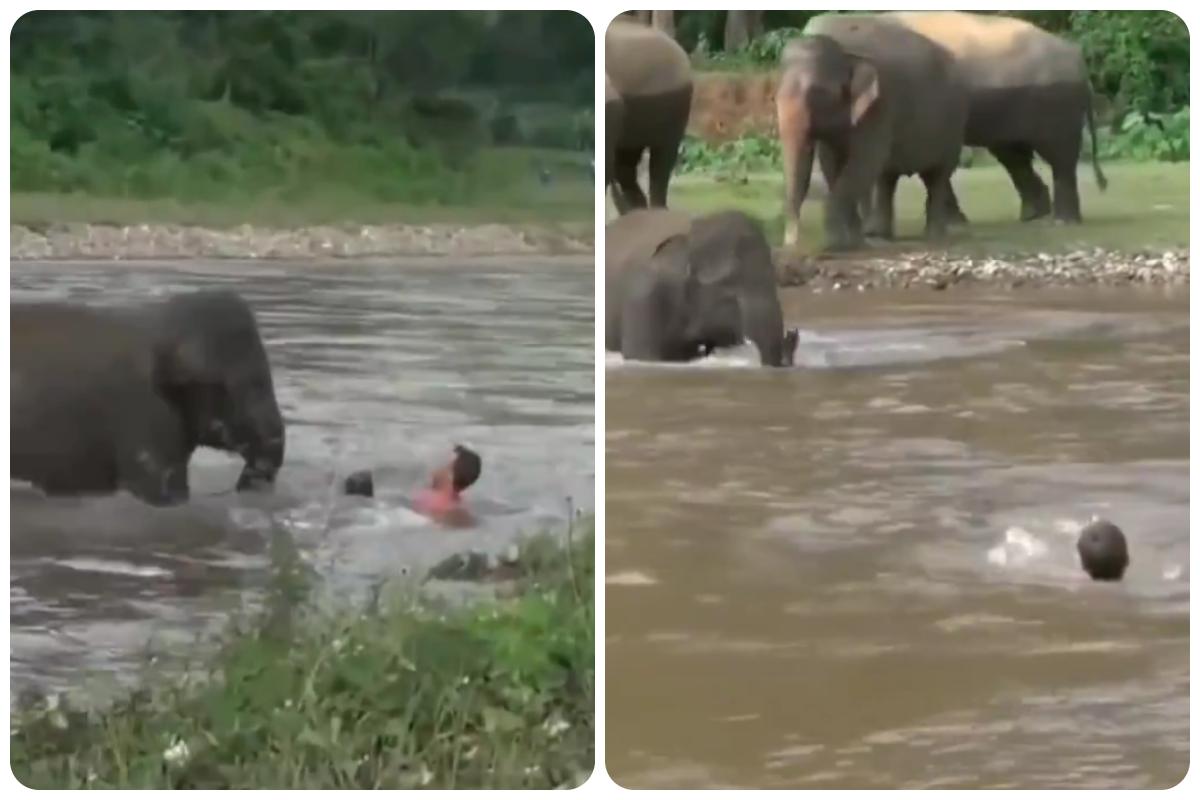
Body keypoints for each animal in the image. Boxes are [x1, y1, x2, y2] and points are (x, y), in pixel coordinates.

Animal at [777, 17, 974, 250]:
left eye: (818, 93)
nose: (791, 243)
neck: (846, 51)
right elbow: (832, 164)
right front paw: (853, 240)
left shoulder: (881, 106)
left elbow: (863, 163)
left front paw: (836, 243)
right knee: (887, 178)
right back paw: (879, 235)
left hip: (954, 125)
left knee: (937, 176)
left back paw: (933, 237)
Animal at [878, 11, 1108, 225]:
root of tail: (1077, 57)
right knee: (1014, 156)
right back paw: (1033, 216)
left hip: (1057, 104)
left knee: (1059, 157)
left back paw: (1061, 221)